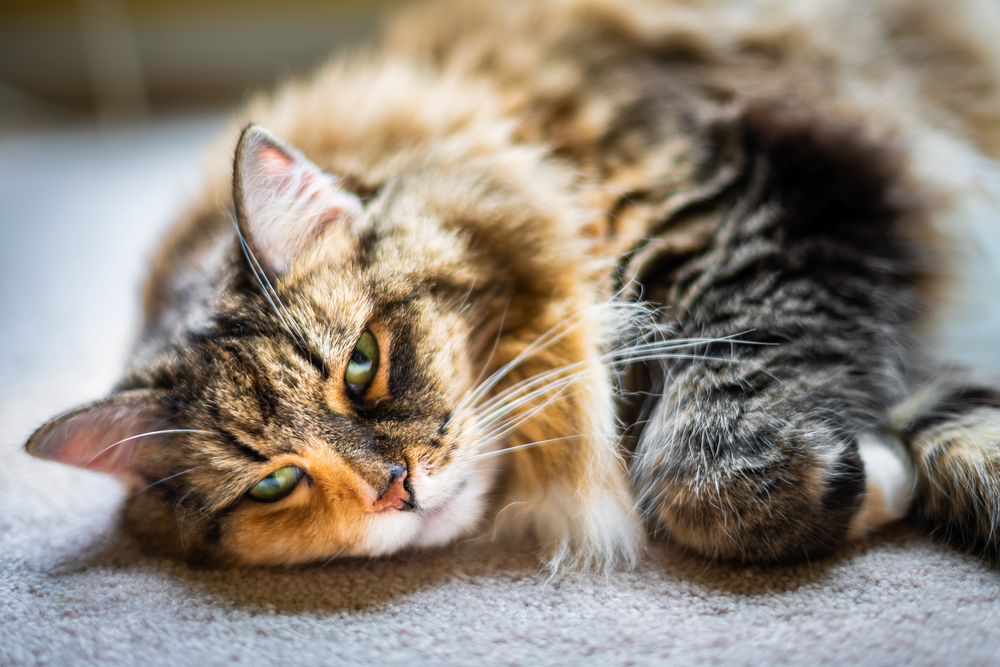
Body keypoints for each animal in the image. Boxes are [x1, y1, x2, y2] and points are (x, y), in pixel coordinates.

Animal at [23, 0, 1000, 576]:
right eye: (275, 484)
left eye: (363, 364)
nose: (394, 489)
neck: (525, 136)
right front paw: (885, 467)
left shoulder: (744, 201)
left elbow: (707, 469)